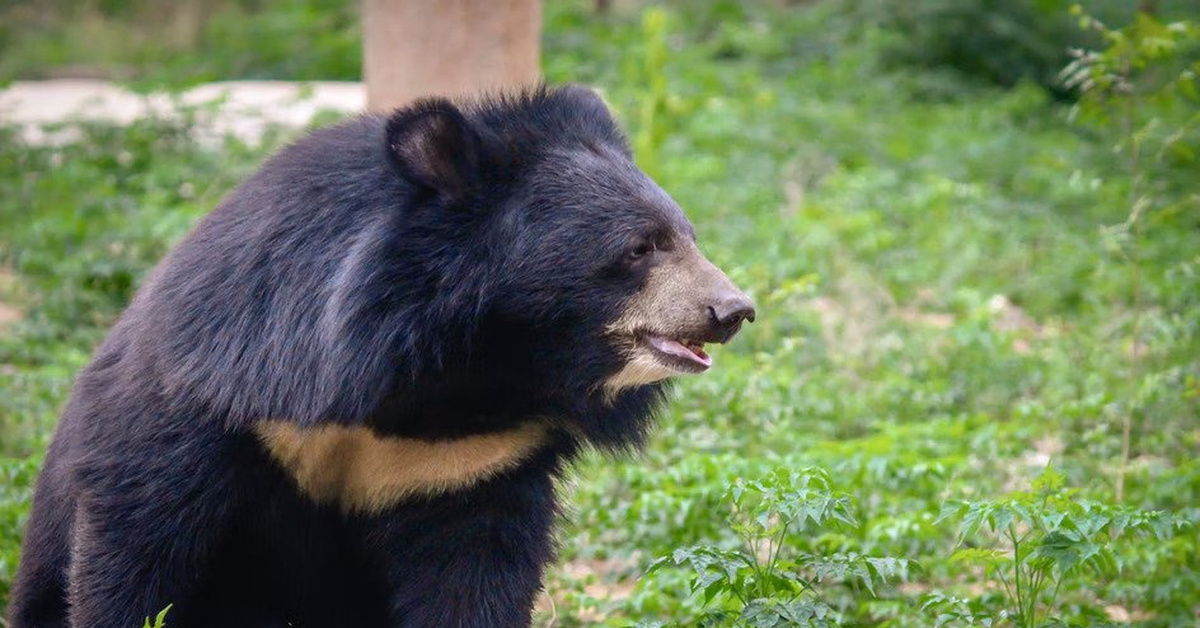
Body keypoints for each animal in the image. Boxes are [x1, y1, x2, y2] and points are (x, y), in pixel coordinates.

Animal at [9, 85, 753, 628]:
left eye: (686, 235)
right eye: (640, 248)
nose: (732, 311)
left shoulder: (471, 461)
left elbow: (471, 574)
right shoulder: (219, 392)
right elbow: (140, 539)